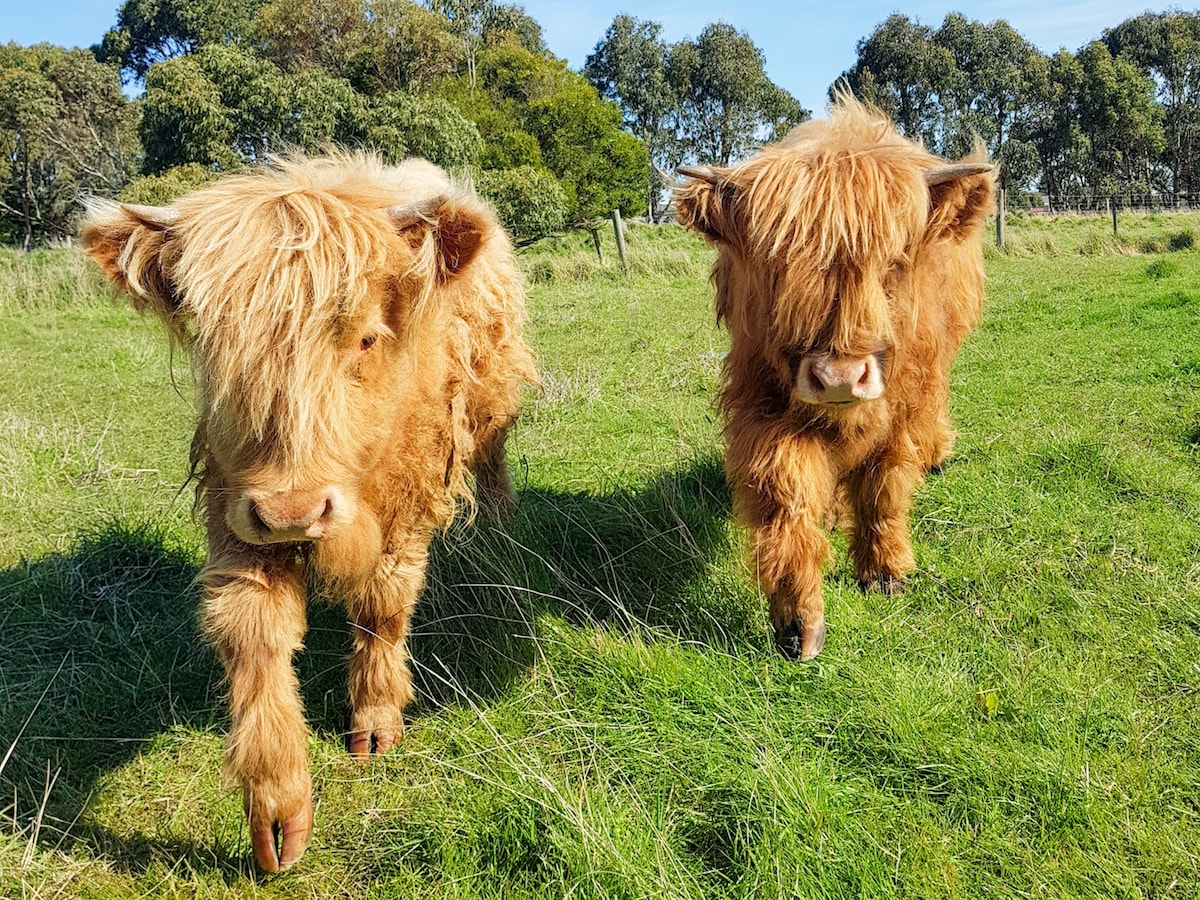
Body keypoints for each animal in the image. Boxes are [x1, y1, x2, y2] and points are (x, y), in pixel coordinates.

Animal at [82, 154, 532, 873]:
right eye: (217, 349)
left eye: (367, 338)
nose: (294, 510)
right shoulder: (238, 508)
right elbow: (254, 634)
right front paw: (277, 807)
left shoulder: (408, 497)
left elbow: (384, 604)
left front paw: (375, 720)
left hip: (491, 402)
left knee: (491, 456)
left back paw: (496, 521)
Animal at [676, 97, 993, 662]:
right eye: (775, 266)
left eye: (895, 261)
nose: (840, 379)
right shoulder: (765, 405)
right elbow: (787, 495)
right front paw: (797, 619)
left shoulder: (903, 405)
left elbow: (883, 489)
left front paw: (885, 572)